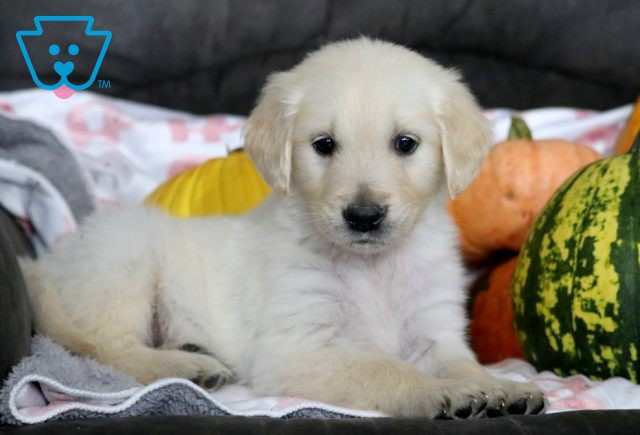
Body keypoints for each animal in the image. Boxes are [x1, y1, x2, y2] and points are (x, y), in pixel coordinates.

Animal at [23, 39, 544, 420]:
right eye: (324, 144)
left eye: (406, 144)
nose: (363, 216)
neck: (372, 266)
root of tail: (47, 262)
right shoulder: (297, 348)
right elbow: (384, 368)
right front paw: (439, 393)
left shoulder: (434, 328)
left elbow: (462, 362)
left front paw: (497, 386)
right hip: (125, 255)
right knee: (105, 349)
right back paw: (186, 365)